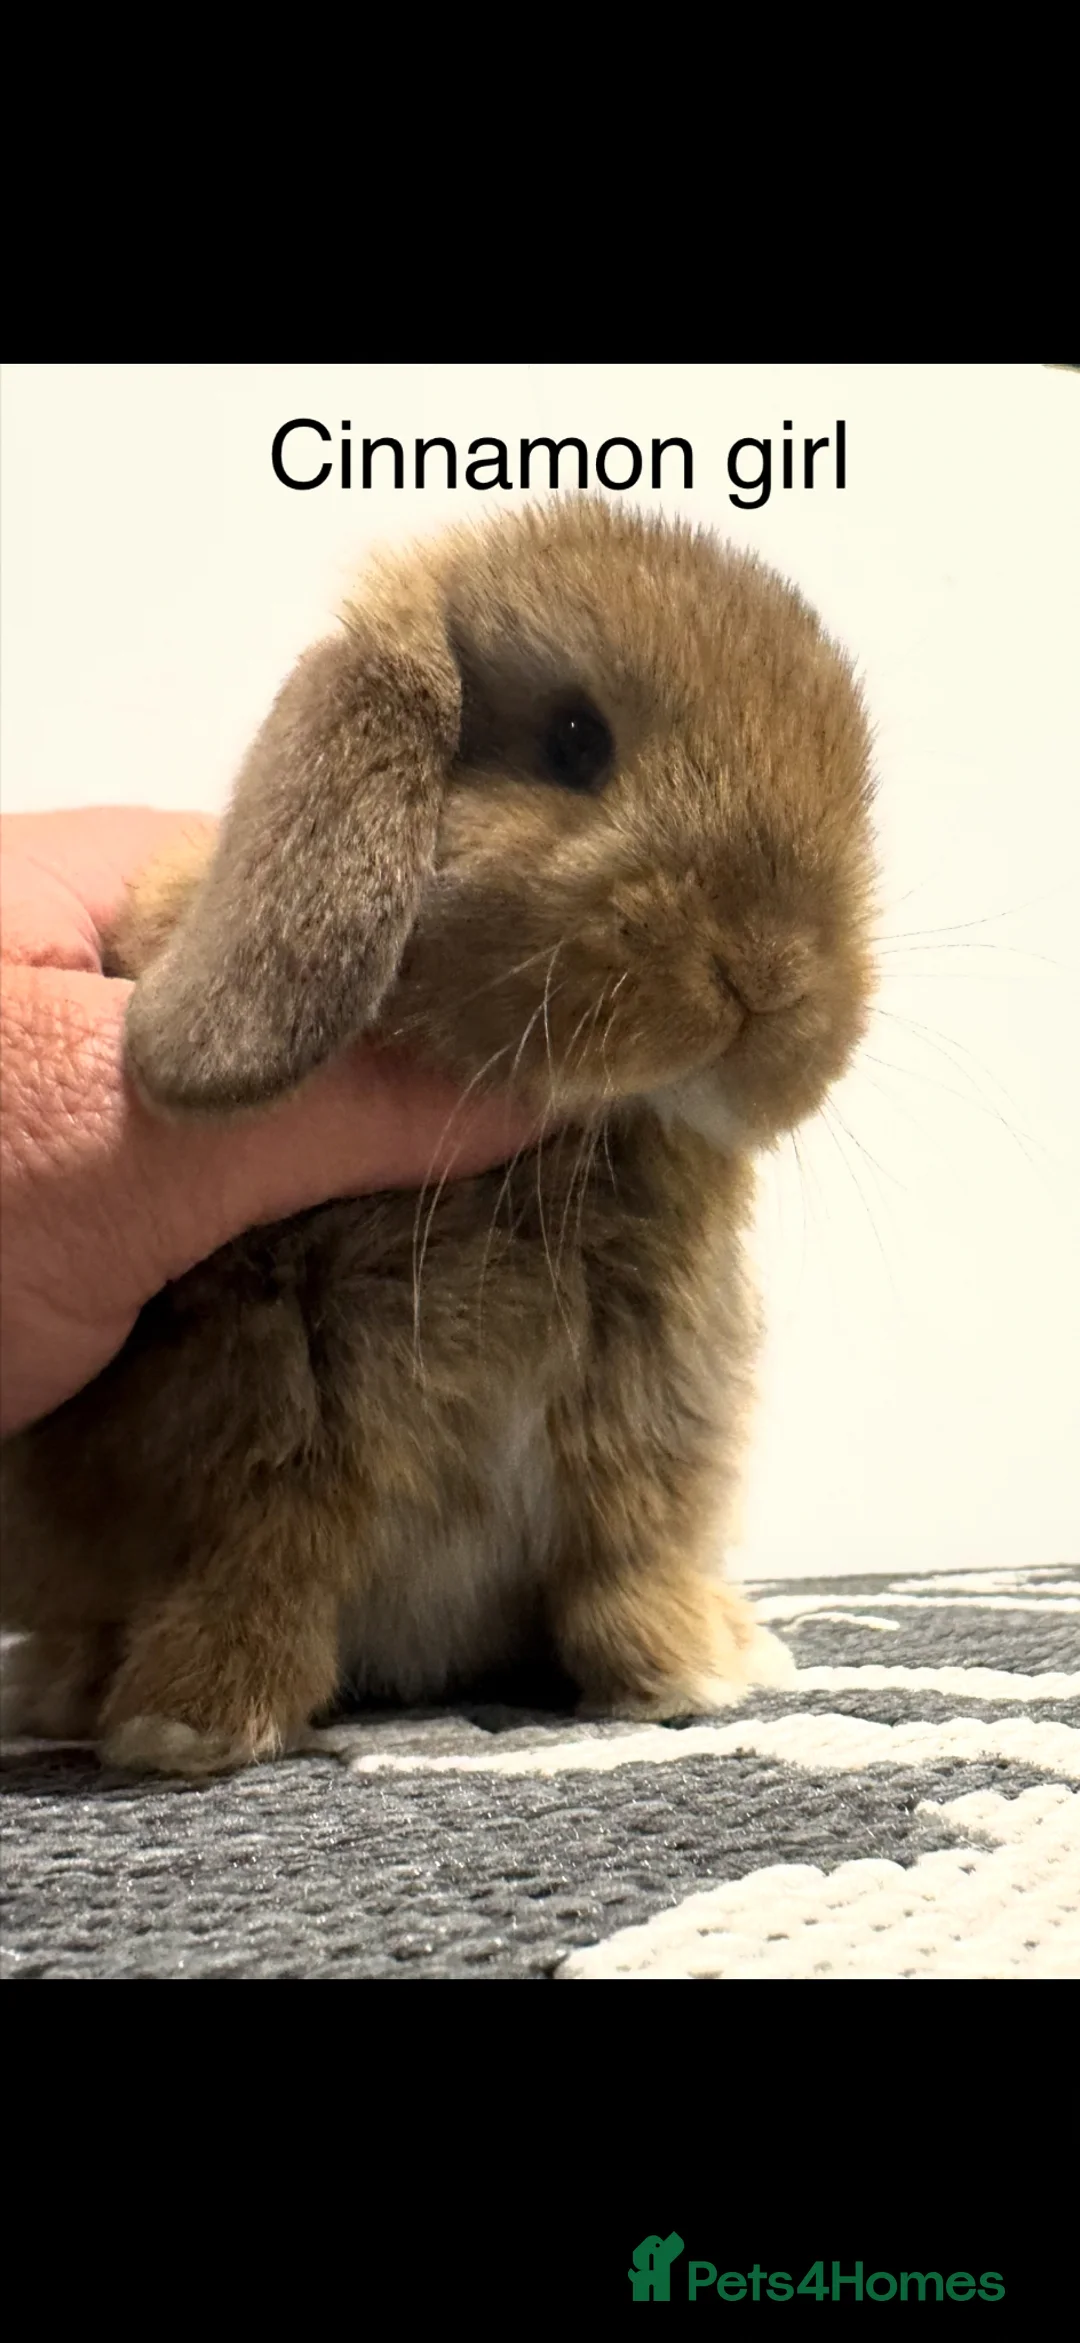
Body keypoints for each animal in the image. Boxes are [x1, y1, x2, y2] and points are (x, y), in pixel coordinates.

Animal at [0, 495, 878, 1777]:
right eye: (575, 740)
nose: (770, 977)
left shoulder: (643, 1391)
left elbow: (626, 1547)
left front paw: (683, 1671)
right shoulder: (262, 1390)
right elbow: (263, 1550)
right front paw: (191, 1723)